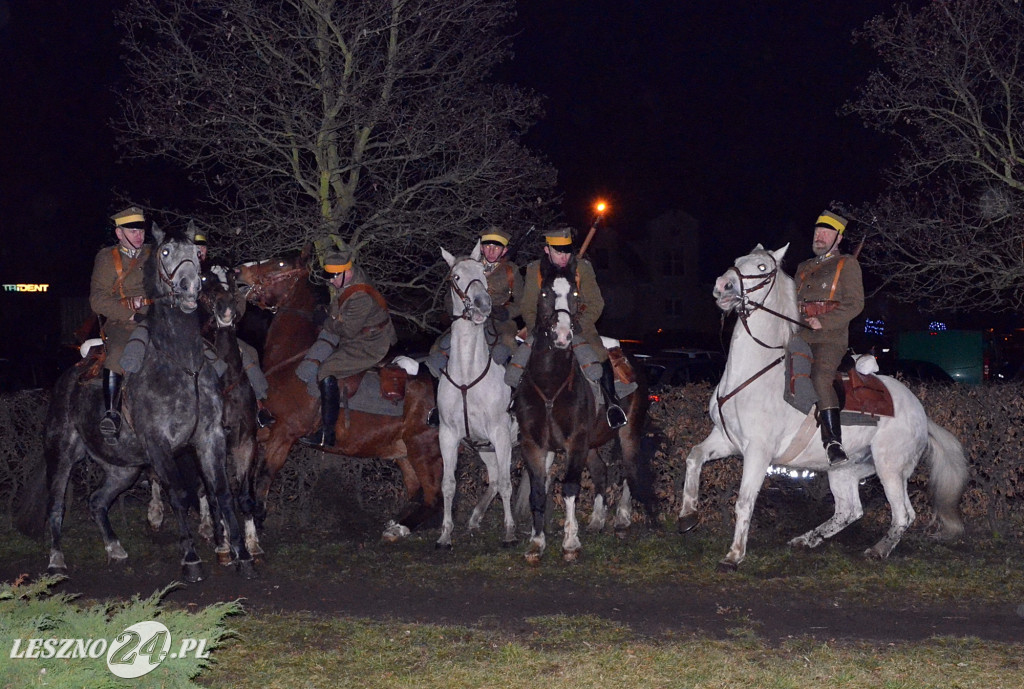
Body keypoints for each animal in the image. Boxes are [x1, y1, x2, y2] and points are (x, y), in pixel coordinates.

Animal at [39, 222, 256, 581]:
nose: (189, 288)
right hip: (62, 453)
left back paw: (114, 548)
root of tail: (66, 379)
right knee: (56, 503)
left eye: (195, 254)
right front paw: (191, 558)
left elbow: (222, 492)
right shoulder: (159, 444)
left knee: (97, 501)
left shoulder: (211, 438)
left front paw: (242, 554)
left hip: (123, 468)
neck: (181, 365)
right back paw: (56, 560)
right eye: (165, 252)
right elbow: (180, 494)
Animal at [235, 249, 444, 540]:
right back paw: (397, 524)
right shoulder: (267, 426)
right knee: (417, 492)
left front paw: (258, 520)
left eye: (280, 264)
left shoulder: (285, 434)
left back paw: (400, 528)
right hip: (402, 453)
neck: (293, 361)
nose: (237, 271)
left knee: (433, 498)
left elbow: (264, 476)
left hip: (424, 449)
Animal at [434, 241, 516, 548]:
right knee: (492, 479)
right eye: (456, 277)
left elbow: (506, 484)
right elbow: (448, 485)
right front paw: (445, 534)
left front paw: (510, 532)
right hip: (486, 449)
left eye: (483, 273)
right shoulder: (448, 435)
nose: (482, 304)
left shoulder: (501, 434)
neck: (468, 376)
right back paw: (474, 518)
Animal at [516, 254, 659, 561]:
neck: (550, 383)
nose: (561, 336)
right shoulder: (533, 444)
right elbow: (538, 491)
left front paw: (570, 542)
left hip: (627, 433)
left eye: (574, 294)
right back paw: (597, 520)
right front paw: (537, 542)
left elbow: (570, 487)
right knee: (602, 471)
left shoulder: (575, 441)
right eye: (544, 294)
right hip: (592, 443)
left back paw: (626, 519)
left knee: (630, 471)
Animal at [679, 243, 966, 569]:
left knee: (903, 514)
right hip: (845, 469)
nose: (722, 285)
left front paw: (734, 554)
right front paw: (687, 515)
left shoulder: (758, 452)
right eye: (739, 260)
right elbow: (694, 457)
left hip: (890, 468)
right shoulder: (726, 440)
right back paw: (807, 539)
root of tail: (921, 414)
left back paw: (878, 550)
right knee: (849, 510)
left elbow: (744, 501)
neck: (753, 374)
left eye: (763, 268)